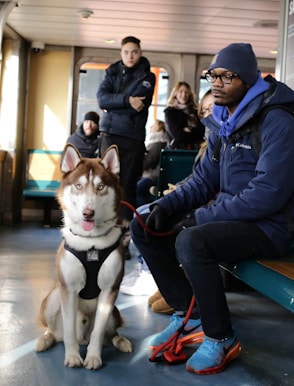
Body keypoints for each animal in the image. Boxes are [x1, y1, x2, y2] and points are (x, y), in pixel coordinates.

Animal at [34, 145, 132, 370]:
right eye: (78, 185)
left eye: (101, 186)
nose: (88, 213)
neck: (90, 244)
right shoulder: (68, 290)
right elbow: (69, 330)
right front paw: (72, 357)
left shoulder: (109, 291)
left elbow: (98, 332)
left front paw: (93, 357)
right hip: (53, 298)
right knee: (56, 332)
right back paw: (45, 340)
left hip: (114, 312)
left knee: (110, 334)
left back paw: (121, 341)